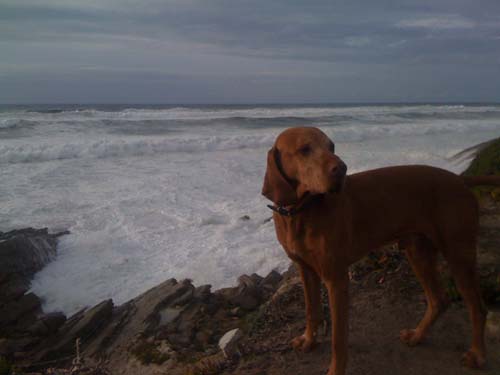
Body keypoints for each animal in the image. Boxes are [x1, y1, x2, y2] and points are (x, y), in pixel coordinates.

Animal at [260, 127, 498, 375]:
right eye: (304, 150)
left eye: (331, 147)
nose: (342, 169)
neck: (299, 212)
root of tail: (460, 179)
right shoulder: (305, 270)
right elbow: (311, 310)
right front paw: (308, 340)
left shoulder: (336, 279)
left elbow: (338, 339)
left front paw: (335, 369)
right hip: (417, 251)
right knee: (438, 300)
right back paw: (417, 335)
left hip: (459, 254)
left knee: (478, 309)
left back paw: (477, 355)